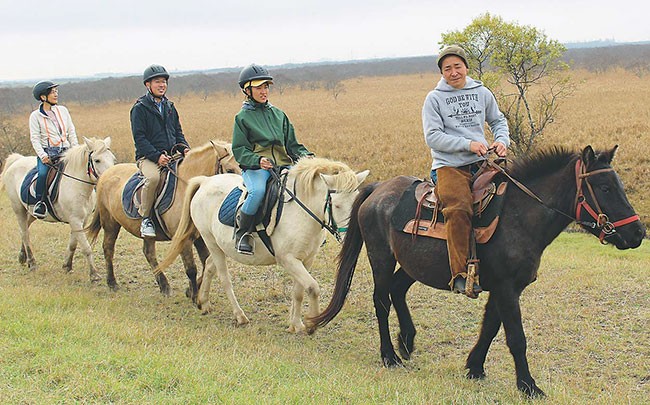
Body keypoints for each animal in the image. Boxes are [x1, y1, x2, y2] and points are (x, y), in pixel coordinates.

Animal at [1, 137, 116, 280]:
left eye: (112, 159)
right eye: (97, 160)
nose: (110, 179)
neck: (77, 185)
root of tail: (17, 160)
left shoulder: (81, 220)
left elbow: (73, 244)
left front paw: (67, 266)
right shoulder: (75, 220)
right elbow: (86, 247)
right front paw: (94, 274)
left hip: (32, 213)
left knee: (25, 227)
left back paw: (23, 257)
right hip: (18, 209)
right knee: (24, 233)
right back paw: (32, 262)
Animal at [85, 140, 238, 296]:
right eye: (230, 170)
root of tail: (106, 174)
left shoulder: (199, 236)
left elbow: (206, 263)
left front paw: (190, 291)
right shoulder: (183, 239)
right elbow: (191, 269)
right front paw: (193, 295)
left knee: (149, 253)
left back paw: (164, 285)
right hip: (110, 223)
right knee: (108, 248)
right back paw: (112, 282)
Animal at [156, 157, 370, 332]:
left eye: (356, 202)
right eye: (337, 205)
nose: (349, 237)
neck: (302, 212)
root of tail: (206, 181)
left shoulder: (306, 259)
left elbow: (299, 291)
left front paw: (296, 324)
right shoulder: (288, 259)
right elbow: (312, 287)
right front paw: (311, 324)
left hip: (221, 246)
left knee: (209, 267)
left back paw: (204, 303)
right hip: (211, 242)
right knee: (224, 278)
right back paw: (240, 316)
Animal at [308, 144, 644, 396]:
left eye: (619, 186)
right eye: (604, 187)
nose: (638, 233)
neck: (519, 217)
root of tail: (378, 189)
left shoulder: (504, 287)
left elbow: (490, 327)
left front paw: (475, 367)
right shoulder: (507, 288)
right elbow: (515, 337)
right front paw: (528, 386)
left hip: (414, 265)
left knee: (396, 289)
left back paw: (407, 341)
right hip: (381, 256)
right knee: (381, 300)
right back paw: (390, 356)